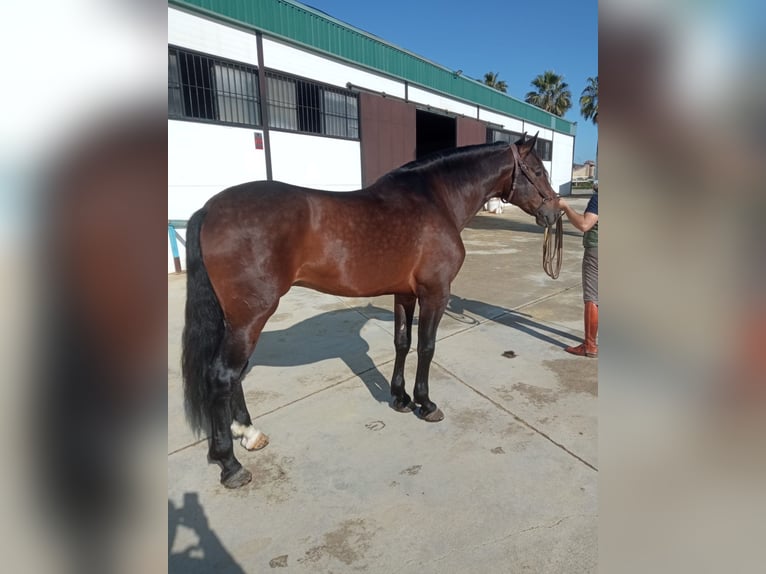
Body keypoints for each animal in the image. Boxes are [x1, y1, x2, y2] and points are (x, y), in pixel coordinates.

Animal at [183, 133, 560, 488]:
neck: (435, 200)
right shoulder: (435, 294)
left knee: (236, 375)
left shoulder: (404, 294)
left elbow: (402, 343)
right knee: (223, 376)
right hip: (251, 317)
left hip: (237, 320)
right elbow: (426, 347)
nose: (554, 214)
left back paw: (249, 433)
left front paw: (400, 398)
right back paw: (230, 464)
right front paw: (426, 404)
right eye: (539, 171)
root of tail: (209, 209)